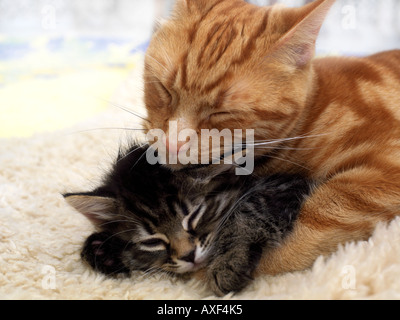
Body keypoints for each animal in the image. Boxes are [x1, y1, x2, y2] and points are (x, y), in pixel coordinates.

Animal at [65, 144, 312, 296]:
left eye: (194, 216)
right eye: (151, 241)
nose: (189, 256)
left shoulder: (289, 184)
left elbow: (247, 209)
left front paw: (229, 261)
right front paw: (104, 250)